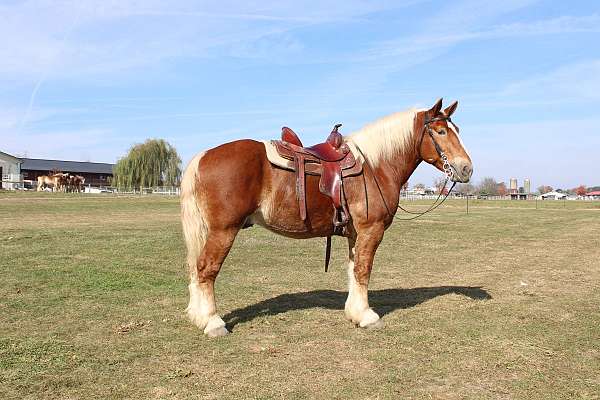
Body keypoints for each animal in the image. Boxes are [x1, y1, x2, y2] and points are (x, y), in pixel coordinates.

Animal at [180, 98, 472, 336]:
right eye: (441, 131)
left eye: (457, 130)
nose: (466, 168)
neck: (375, 166)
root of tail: (204, 156)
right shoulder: (371, 229)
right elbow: (363, 270)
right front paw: (367, 317)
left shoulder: (356, 234)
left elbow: (354, 270)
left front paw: (355, 313)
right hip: (223, 230)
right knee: (206, 269)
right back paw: (212, 322)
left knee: (196, 269)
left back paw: (198, 316)